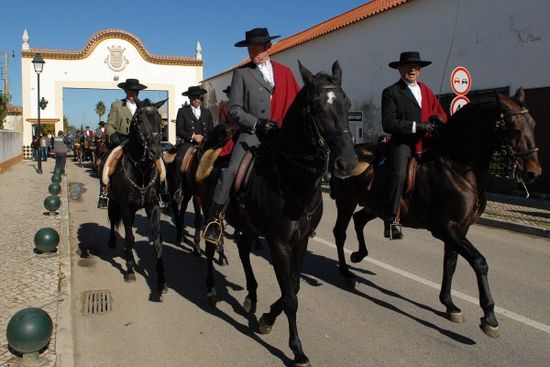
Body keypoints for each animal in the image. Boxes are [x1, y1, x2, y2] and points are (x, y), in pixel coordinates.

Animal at [106, 98, 168, 300]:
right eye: (139, 121)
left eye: (160, 120)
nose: (156, 151)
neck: (141, 168)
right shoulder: (125, 207)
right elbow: (130, 238)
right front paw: (130, 270)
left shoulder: (153, 206)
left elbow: (157, 241)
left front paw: (161, 281)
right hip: (113, 202)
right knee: (113, 221)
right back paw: (112, 242)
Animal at [201, 62, 360, 367]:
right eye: (317, 107)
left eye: (347, 104)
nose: (347, 163)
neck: (292, 178)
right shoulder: (279, 244)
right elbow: (290, 297)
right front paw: (297, 349)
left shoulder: (300, 241)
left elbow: (294, 287)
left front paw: (266, 317)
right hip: (209, 213)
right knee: (210, 246)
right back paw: (212, 290)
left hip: (247, 225)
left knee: (243, 248)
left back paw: (251, 295)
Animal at [332, 87, 544, 338]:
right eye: (512, 127)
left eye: (532, 123)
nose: (533, 173)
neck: (458, 166)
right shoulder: (446, 228)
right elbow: (479, 261)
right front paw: (489, 316)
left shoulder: (460, 229)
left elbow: (450, 263)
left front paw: (449, 304)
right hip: (346, 202)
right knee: (340, 233)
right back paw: (347, 272)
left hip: (377, 206)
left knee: (359, 220)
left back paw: (359, 255)